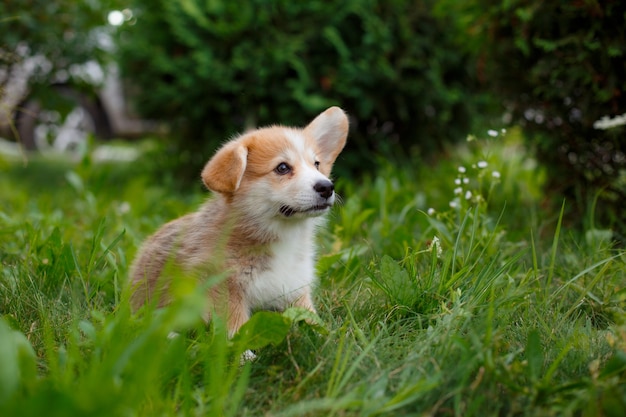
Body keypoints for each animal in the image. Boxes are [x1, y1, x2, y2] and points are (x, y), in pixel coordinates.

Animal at [129, 105, 348, 336]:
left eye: (316, 164)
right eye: (282, 168)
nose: (327, 187)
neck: (281, 235)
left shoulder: (295, 289)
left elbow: (312, 319)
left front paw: (326, 335)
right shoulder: (224, 289)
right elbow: (236, 327)